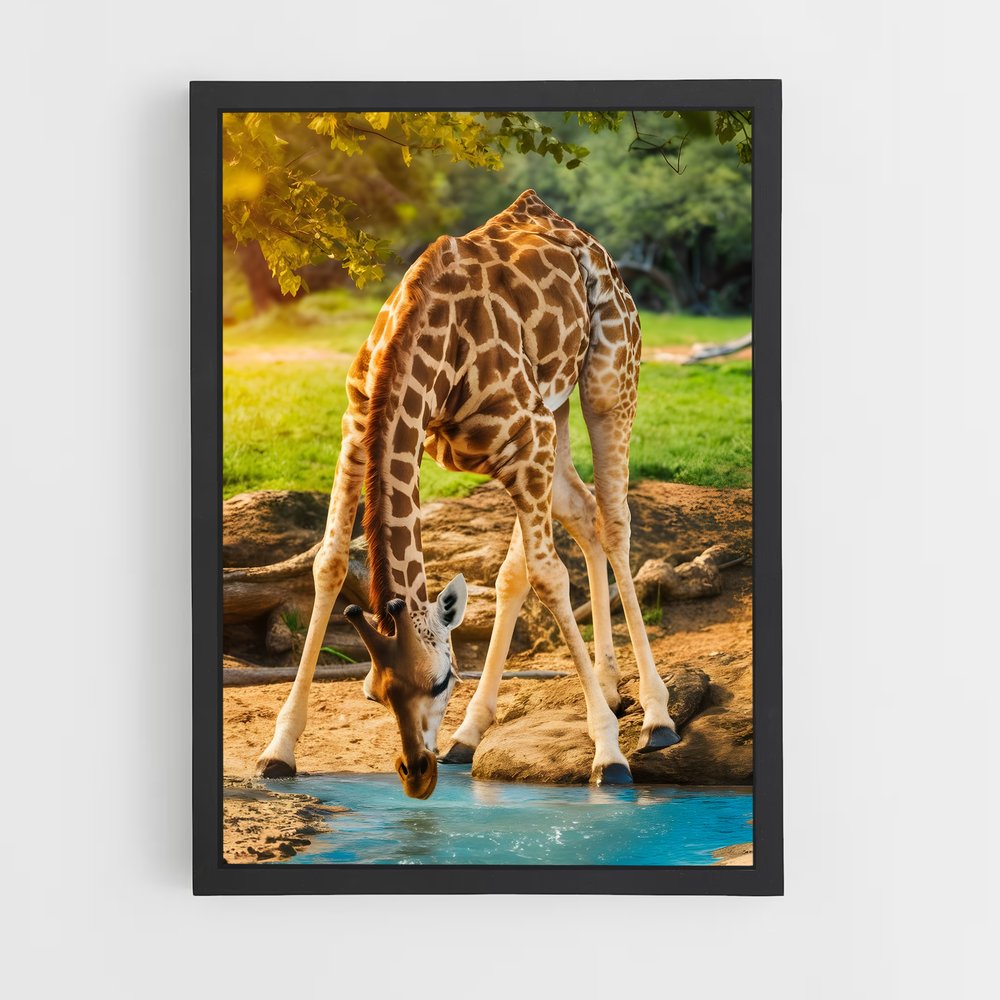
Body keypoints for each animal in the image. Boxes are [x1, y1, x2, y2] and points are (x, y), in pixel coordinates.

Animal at [255, 189, 679, 799]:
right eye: (373, 693)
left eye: (442, 681)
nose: (416, 774)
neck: (426, 344)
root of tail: (577, 233)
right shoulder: (358, 427)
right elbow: (328, 563)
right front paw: (279, 750)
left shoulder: (526, 438)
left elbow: (550, 577)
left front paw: (608, 755)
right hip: (553, 414)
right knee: (578, 517)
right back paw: (518, 716)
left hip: (607, 382)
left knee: (612, 521)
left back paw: (655, 716)